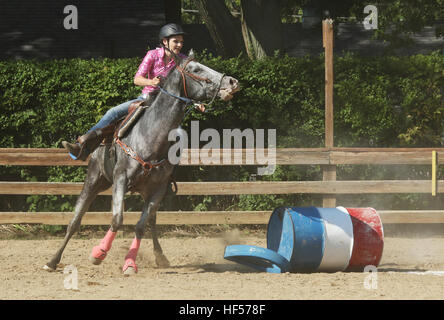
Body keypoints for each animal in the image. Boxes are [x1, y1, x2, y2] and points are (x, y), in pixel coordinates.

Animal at [44, 50, 239, 276]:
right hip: (94, 179)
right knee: (75, 220)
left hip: (146, 192)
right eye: (196, 69)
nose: (232, 82)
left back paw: (160, 257)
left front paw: (129, 263)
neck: (150, 136)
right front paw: (98, 253)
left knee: (152, 221)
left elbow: (140, 226)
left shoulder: (158, 189)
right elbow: (117, 220)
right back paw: (52, 261)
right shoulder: (120, 179)